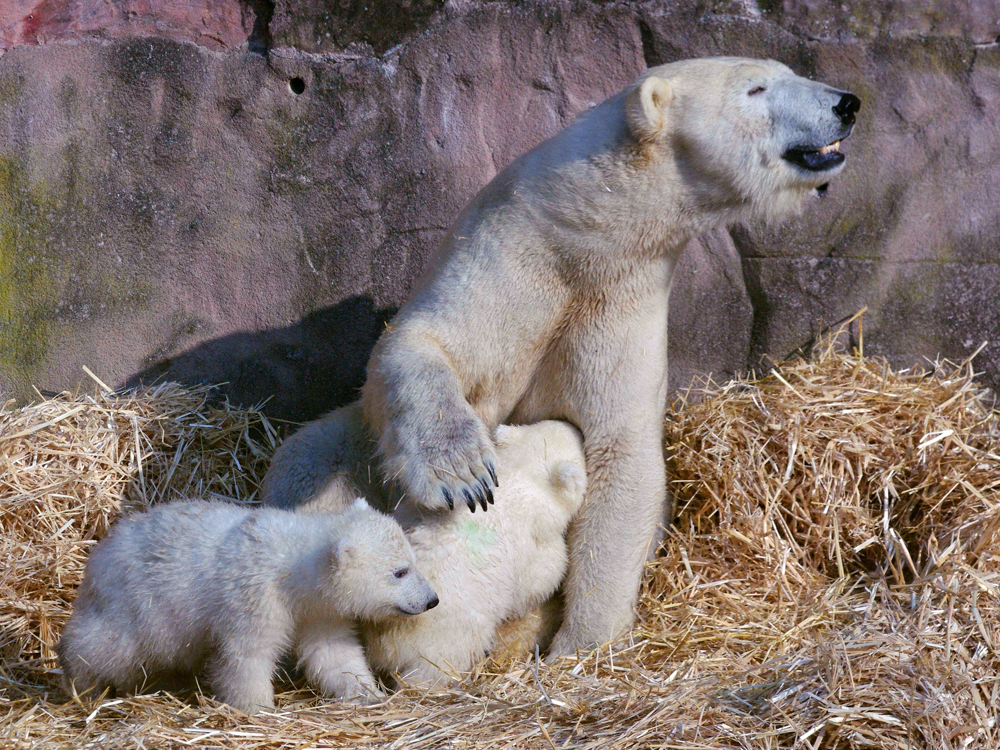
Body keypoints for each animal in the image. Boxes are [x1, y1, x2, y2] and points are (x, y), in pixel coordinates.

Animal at [276, 58, 860, 656]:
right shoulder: (512, 255)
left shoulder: (623, 300)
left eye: (788, 72)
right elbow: (421, 342)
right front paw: (461, 473)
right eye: (757, 87)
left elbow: (620, 456)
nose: (846, 103)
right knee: (313, 465)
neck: (589, 230)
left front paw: (582, 644)